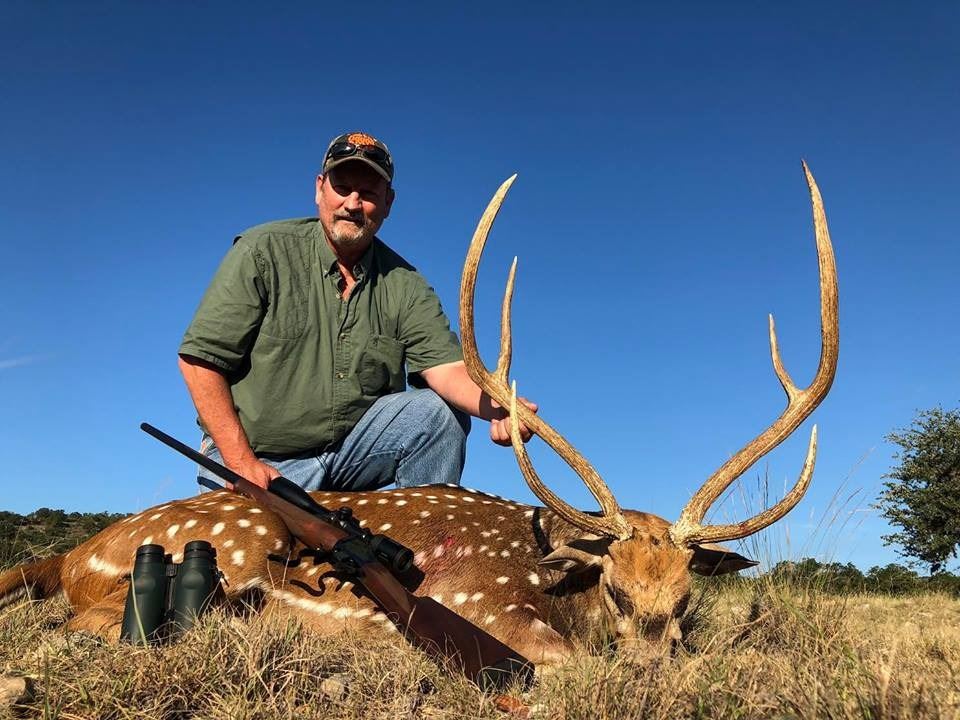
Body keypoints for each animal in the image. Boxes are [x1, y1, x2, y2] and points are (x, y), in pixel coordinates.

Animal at [0, 163, 838, 669]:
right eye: (616, 590)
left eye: (686, 597)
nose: (646, 671)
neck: (555, 582)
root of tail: (71, 556)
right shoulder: (487, 608)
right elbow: (557, 664)